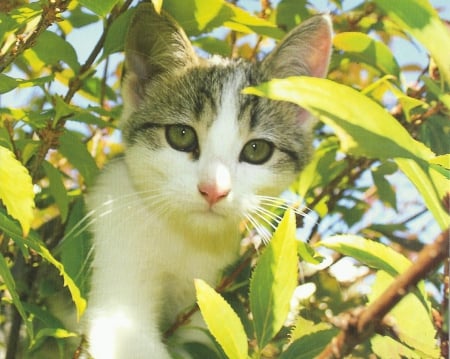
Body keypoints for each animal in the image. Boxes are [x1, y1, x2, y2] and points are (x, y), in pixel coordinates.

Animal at [80, 1, 330, 358]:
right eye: (181, 135)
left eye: (257, 150)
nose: (214, 190)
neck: (185, 237)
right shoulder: (114, 222)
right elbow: (125, 331)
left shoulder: (208, 298)